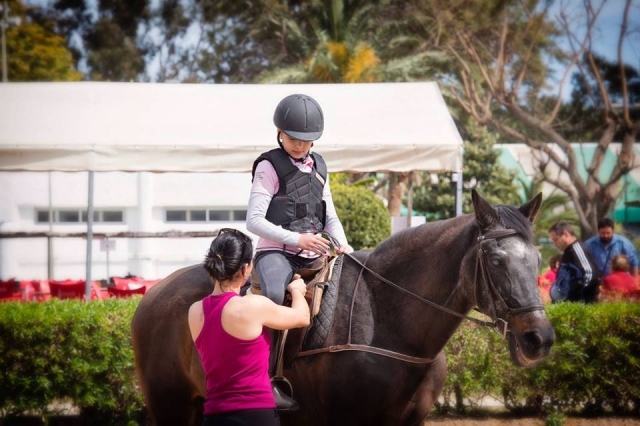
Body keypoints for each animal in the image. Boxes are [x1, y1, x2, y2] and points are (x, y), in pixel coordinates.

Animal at [131, 190, 555, 425]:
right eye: (496, 260)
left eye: (537, 259)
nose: (539, 338)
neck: (389, 321)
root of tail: (152, 294)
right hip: (171, 407)